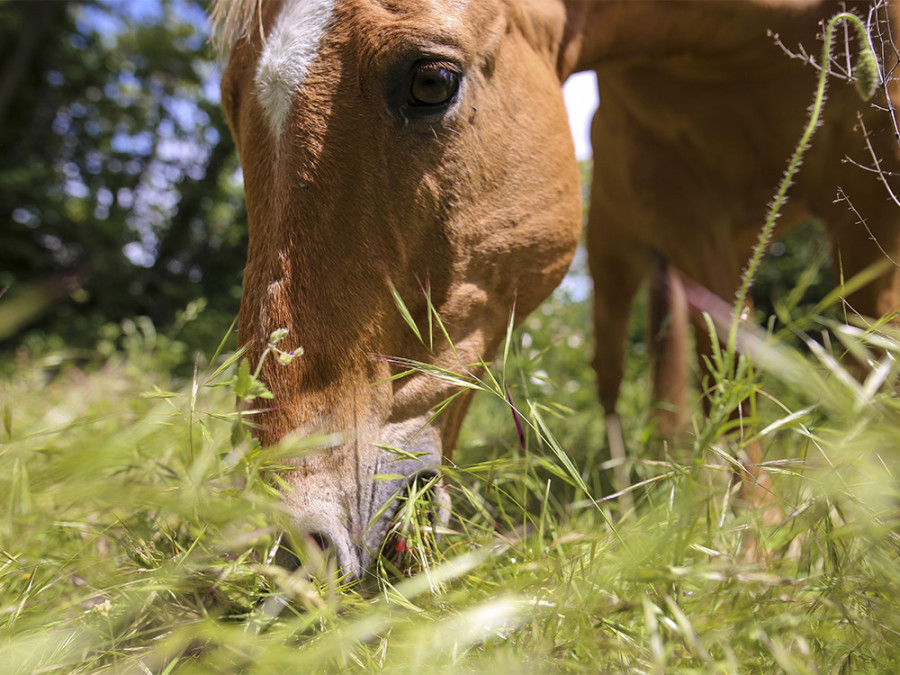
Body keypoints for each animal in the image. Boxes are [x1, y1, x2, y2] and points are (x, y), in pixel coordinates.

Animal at [213, 1, 900, 580]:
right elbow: (729, 374)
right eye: (229, 105)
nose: (298, 538)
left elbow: (858, 358)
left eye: (432, 82)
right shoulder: (682, 203)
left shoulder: (873, 195)